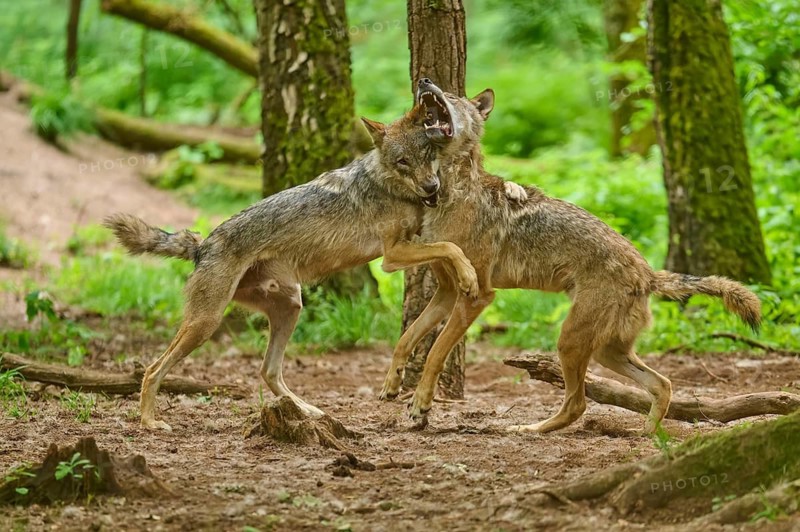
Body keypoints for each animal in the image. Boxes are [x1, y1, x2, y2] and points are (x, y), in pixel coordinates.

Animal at [104, 103, 527, 431]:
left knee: (268, 372)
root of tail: (202, 244)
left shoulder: (415, 237)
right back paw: (150, 422)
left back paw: (308, 411)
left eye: (427, 157)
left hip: (290, 308)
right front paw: (468, 275)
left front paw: (513, 191)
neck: (391, 186)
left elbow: (452, 241)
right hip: (205, 324)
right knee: (153, 369)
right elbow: (451, 247)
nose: (430, 188)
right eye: (402, 162)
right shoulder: (392, 256)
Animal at [377, 79, 761, 434]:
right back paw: (649, 437)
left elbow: (434, 353)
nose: (424, 80)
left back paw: (530, 430)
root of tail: (649, 273)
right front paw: (392, 386)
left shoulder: (477, 296)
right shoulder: (447, 290)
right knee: (661, 384)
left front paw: (420, 407)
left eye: (454, 96)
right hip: (606, 350)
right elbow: (406, 339)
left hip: (570, 341)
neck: (451, 193)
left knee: (579, 404)